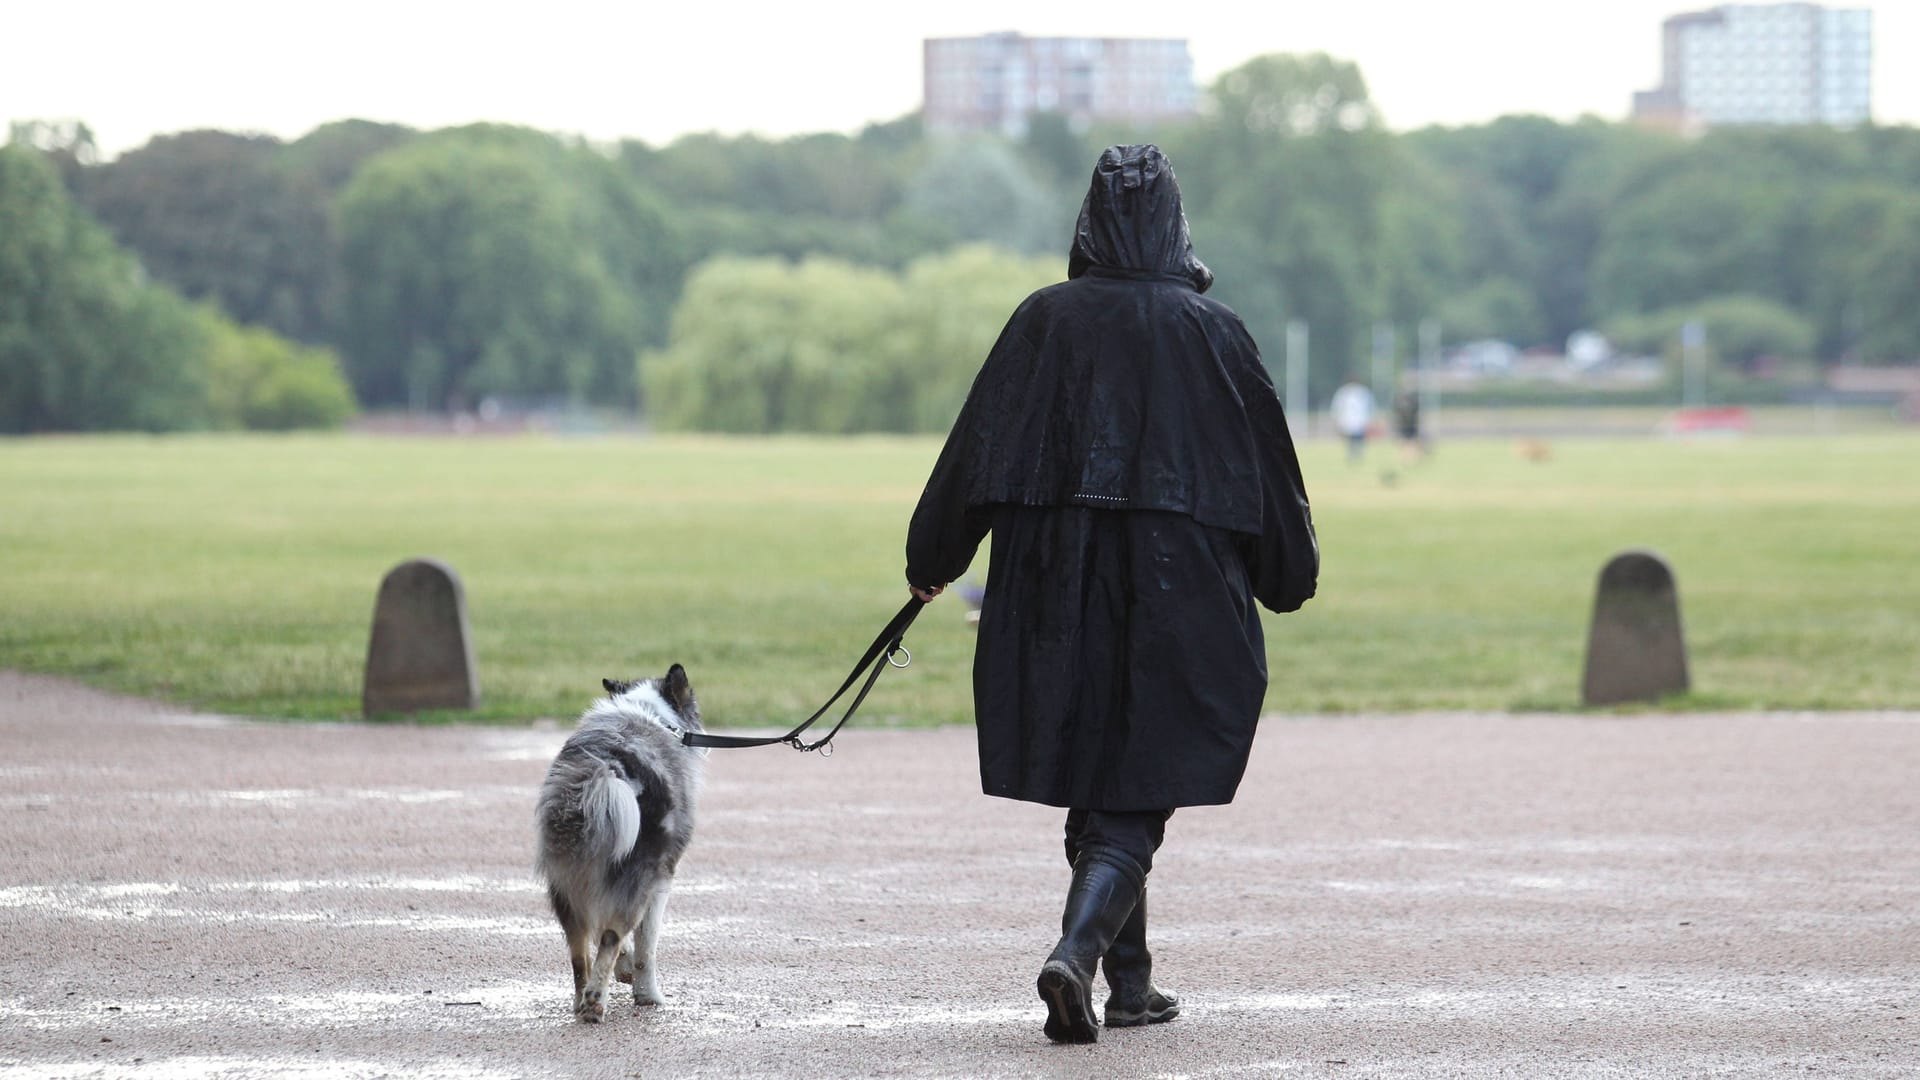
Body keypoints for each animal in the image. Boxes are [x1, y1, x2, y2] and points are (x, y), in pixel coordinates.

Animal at [533, 661, 706, 1022]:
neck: (657, 718)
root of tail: (602, 770)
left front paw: (624, 970)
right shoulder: (661, 880)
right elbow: (646, 946)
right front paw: (647, 995)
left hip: (566, 882)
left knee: (579, 949)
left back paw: (581, 1000)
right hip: (636, 875)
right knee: (611, 935)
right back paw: (595, 1002)